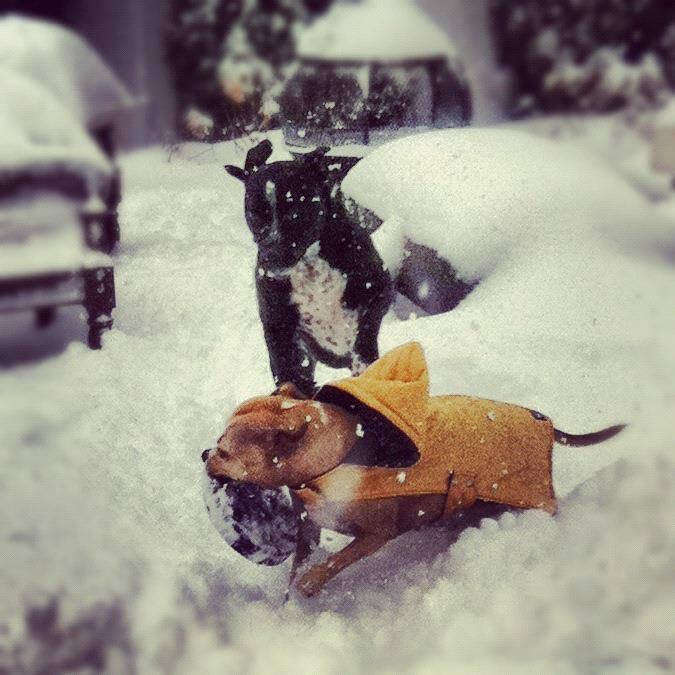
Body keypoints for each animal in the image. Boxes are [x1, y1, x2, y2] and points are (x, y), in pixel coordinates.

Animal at [203, 344, 624, 596]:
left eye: (224, 451)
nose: (204, 452)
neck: (337, 458)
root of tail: (547, 425)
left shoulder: (376, 534)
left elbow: (335, 562)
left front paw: (311, 584)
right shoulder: (310, 526)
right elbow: (300, 563)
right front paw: (291, 600)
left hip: (527, 498)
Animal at [227, 141, 396, 396]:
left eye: (294, 212)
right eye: (254, 214)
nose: (270, 258)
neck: (309, 265)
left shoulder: (378, 290)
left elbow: (364, 330)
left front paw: (362, 360)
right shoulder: (279, 326)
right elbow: (288, 370)